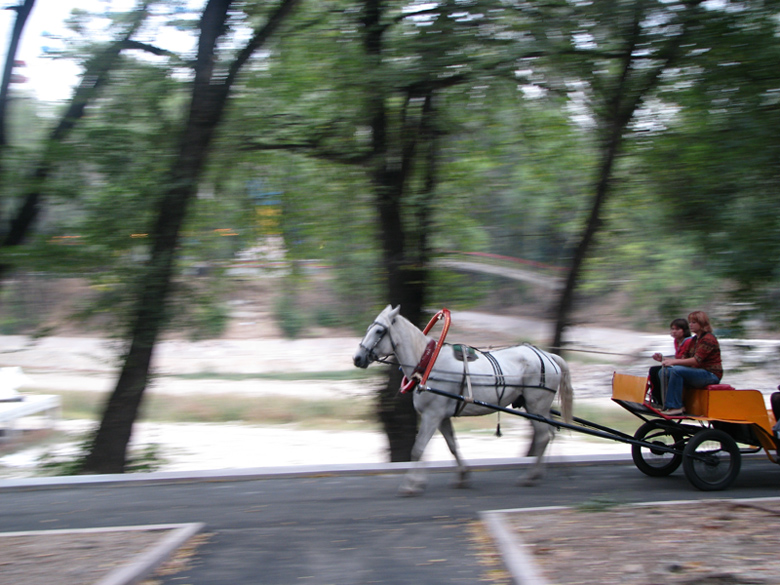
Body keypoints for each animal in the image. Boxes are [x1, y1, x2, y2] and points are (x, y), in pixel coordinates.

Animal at [354, 304, 572, 496]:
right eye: (369, 328)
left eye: (379, 331)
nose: (357, 358)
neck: (428, 364)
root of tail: (548, 356)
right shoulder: (441, 417)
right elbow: (451, 446)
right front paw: (461, 476)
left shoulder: (432, 416)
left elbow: (418, 449)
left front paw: (410, 486)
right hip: (537, 409)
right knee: (550, 433)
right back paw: (539, 472)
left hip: (536, 406)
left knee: (543, 437)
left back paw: (530, 476)